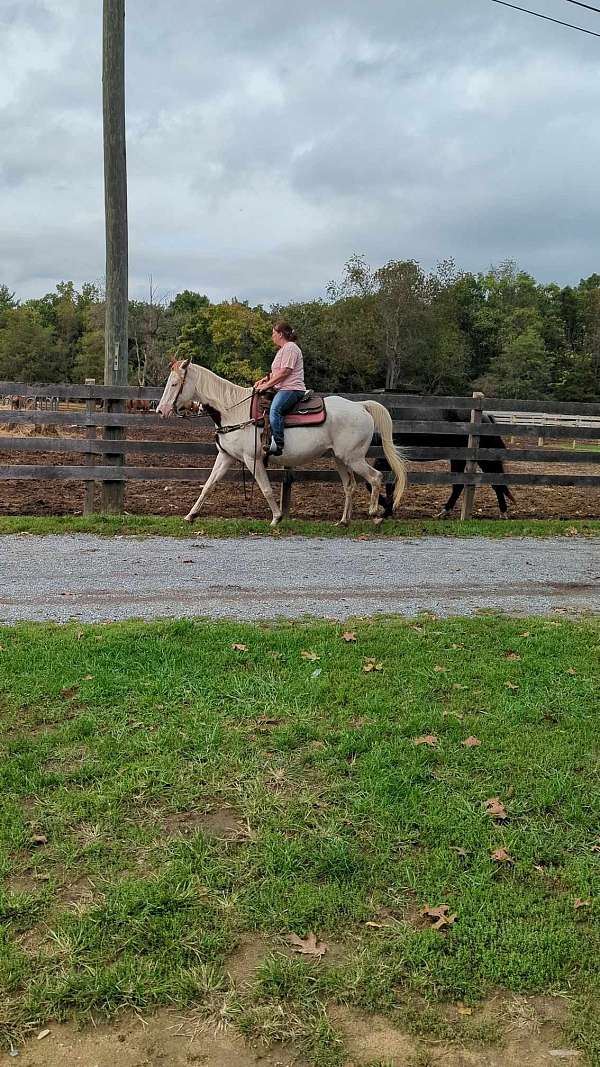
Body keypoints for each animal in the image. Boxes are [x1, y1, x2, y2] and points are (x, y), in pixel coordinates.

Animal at [154, 358, 405, 524]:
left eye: (175, 384)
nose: (160, 410)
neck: (233, 411)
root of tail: (361, 406)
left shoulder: (252, 459)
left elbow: (265, 488)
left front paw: (276, 517)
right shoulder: (225, 457)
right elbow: (208, 485)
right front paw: (190, 515)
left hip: (353, 458)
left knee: (376, 477)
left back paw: (375, 514)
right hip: (340, 459)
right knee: (349, 486)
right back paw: (343, 521)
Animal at [377, 405, 514, 518]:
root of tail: (486, 418)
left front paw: (387, 509)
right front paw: (388, 508)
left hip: (483, 460)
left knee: (496, 483)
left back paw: (502, 512)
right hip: (458, 458)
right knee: (460, 486)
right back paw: (445, 511)